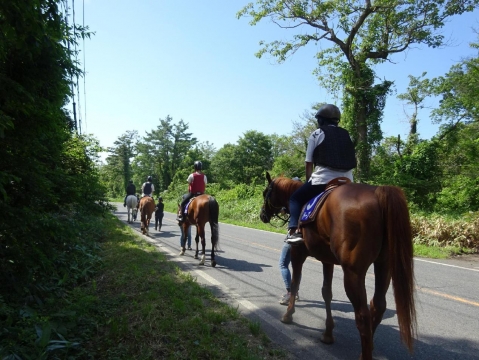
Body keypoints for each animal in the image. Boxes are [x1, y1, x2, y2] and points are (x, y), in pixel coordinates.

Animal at [258, 172, 416, 360]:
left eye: (265, 192)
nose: (262, 215)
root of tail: (378, 192)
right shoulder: (327, 260)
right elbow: (327, 292)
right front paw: (328, 333)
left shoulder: (298, 254)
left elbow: (295, 283)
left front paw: (288, 315)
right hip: (384, 266)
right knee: (378, 306)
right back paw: (368, 348)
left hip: (353, 272)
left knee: (363, 315)